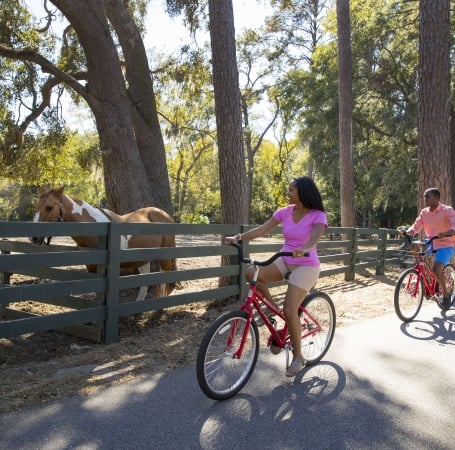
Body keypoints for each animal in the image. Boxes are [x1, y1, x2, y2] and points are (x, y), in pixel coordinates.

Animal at [31, 185, 177, 300]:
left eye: (49, 207)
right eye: (37, 207)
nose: (34, 238)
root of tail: (165, 215)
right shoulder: (91, 268)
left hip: (164, 258)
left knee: (163, 280)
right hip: (142, 260)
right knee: (145, 281)